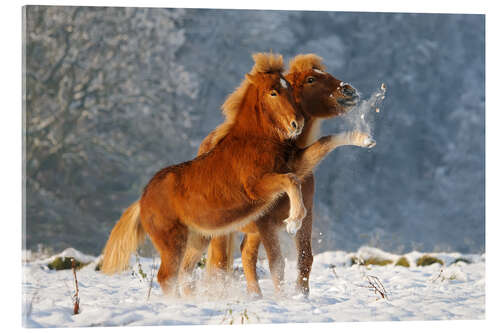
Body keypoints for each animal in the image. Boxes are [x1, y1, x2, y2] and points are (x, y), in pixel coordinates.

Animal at [202, 54, 372, 296]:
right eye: (311, 79)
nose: (349, 90)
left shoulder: (306, 217)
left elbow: (305, 259)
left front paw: (302, 296)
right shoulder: (266, 222)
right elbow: (277, 263)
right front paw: (283, 299)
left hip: (251, 232)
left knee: (246, 255)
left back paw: (256, 297)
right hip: (223, 231)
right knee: (219, 263)